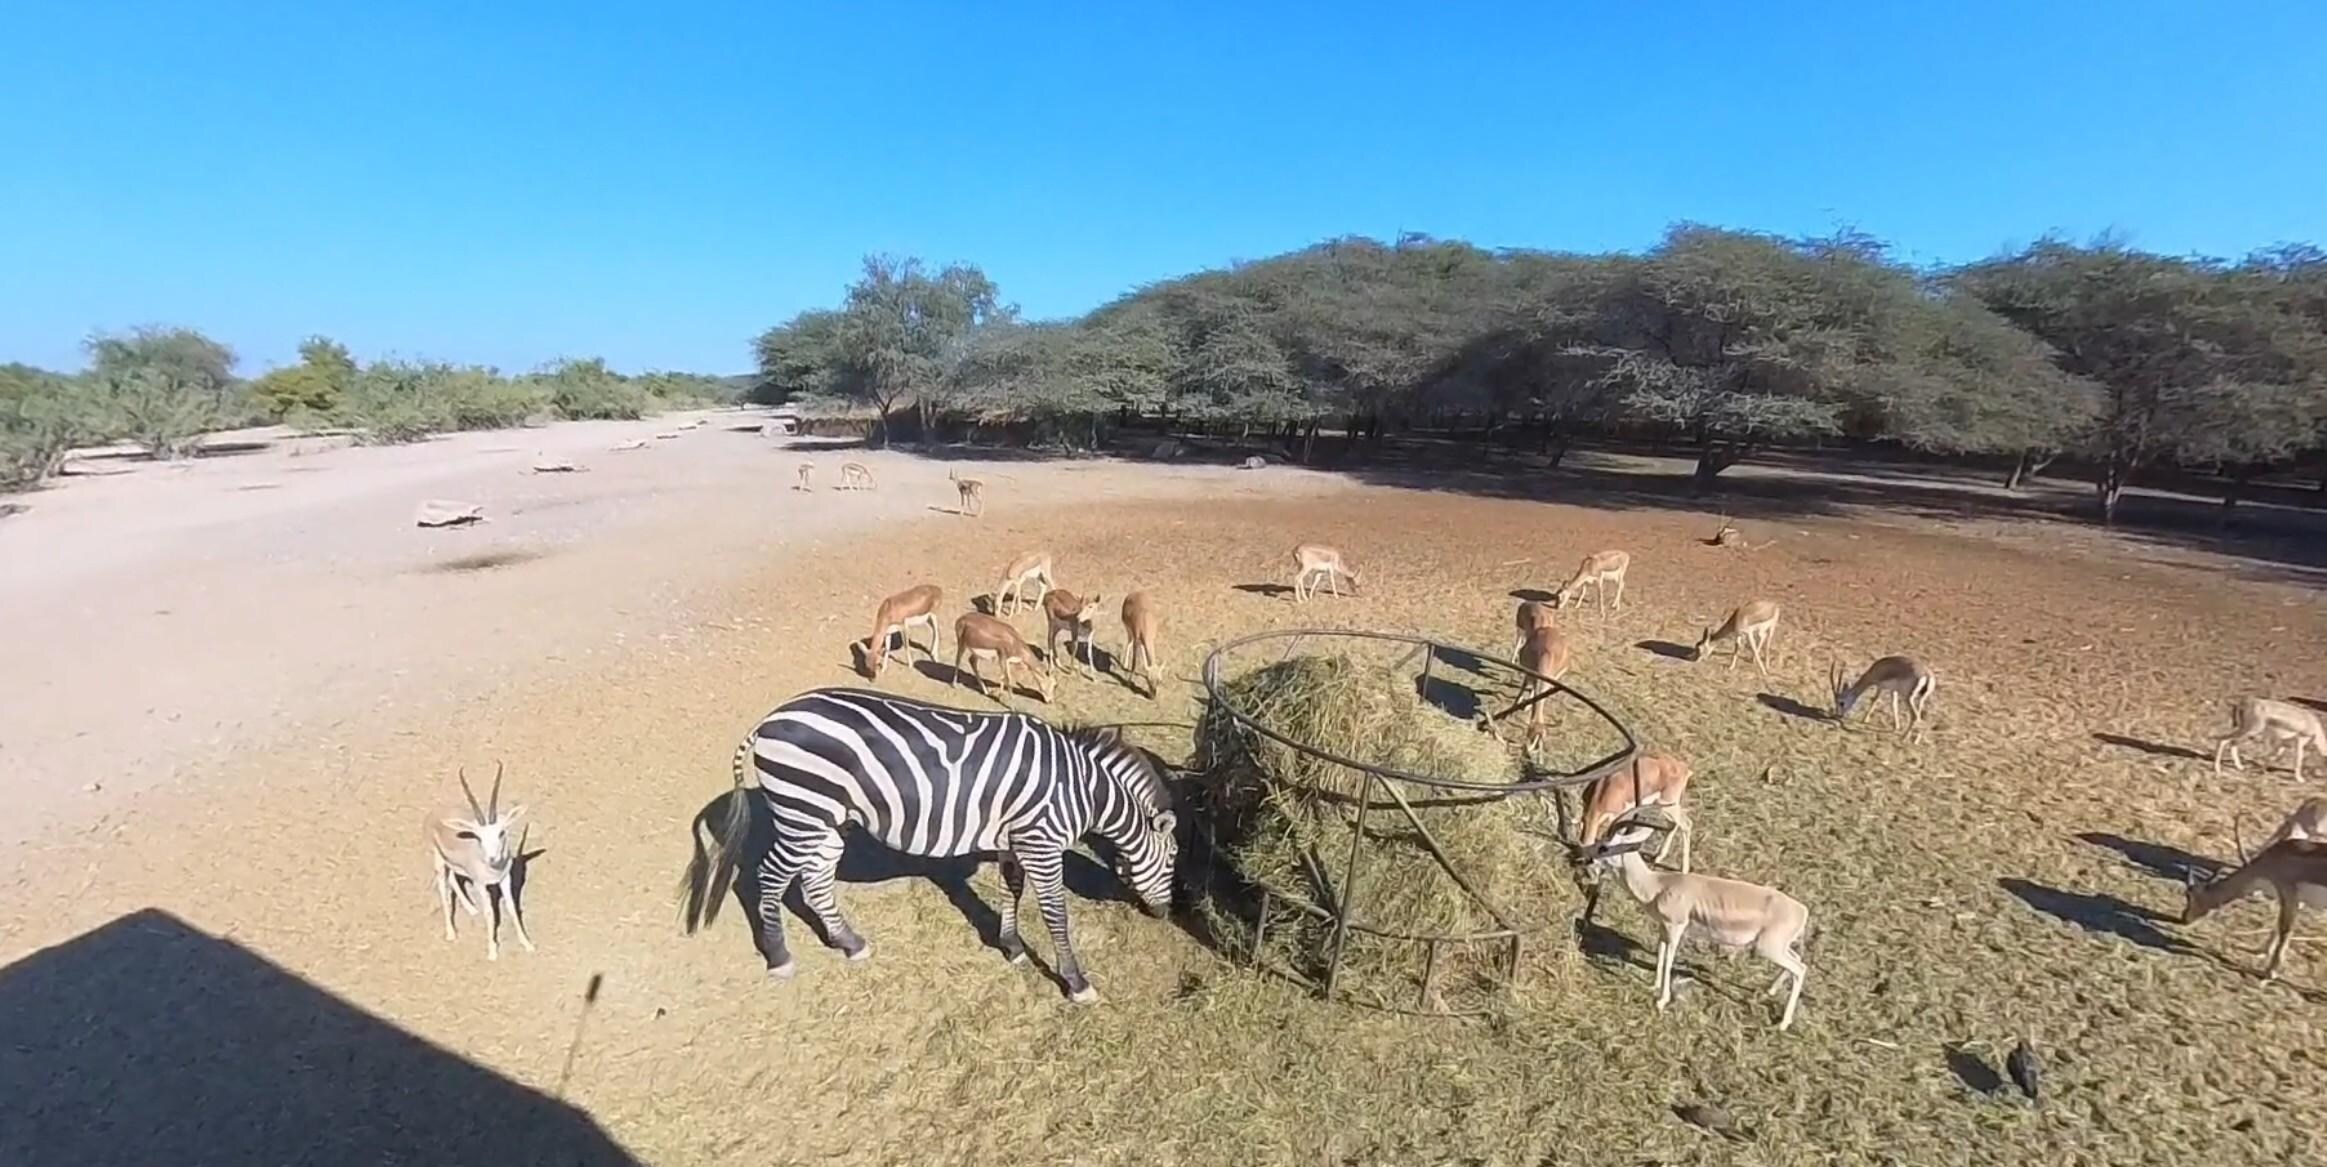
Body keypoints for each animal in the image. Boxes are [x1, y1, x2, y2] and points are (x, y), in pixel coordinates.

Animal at [703, 686, 1180, 1003]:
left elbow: (1011, 891)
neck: (1080, 789)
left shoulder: (1014, 840)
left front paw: (1012, 947)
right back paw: (779, 955)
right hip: (803, 810)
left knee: (815, 878)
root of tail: (770, 719)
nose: (1165, 913)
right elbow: (1056, 916)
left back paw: (849, 942)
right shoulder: (1042, 844)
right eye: (1174, 859)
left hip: (825, 819)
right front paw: (1076, 983)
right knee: (767, 877)